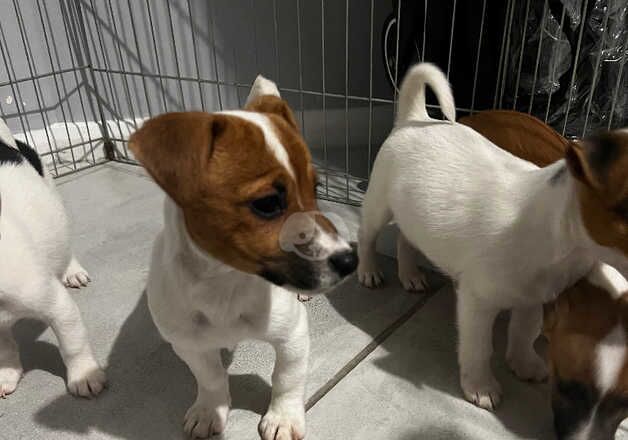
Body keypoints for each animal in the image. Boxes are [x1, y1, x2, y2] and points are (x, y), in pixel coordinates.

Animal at [130, 76, 358, 440]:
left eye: (315, 189)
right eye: (267, 203)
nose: (351, 261)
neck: (225, 281)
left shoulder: (292, 335)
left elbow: (286, 378)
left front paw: (283, 417)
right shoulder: (188, 344)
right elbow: (210, 378)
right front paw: (210, 410)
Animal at [356, 62, 628, 412]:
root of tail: (415, 118)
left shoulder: (533, 296)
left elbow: (525, 332)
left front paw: (524, 363)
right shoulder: (477, 302)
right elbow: (478, 348)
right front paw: (480, 386)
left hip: (411, 214)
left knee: (406, 239)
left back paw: (411, 275)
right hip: (378, 205)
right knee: (367, 237)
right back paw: (368, 271)